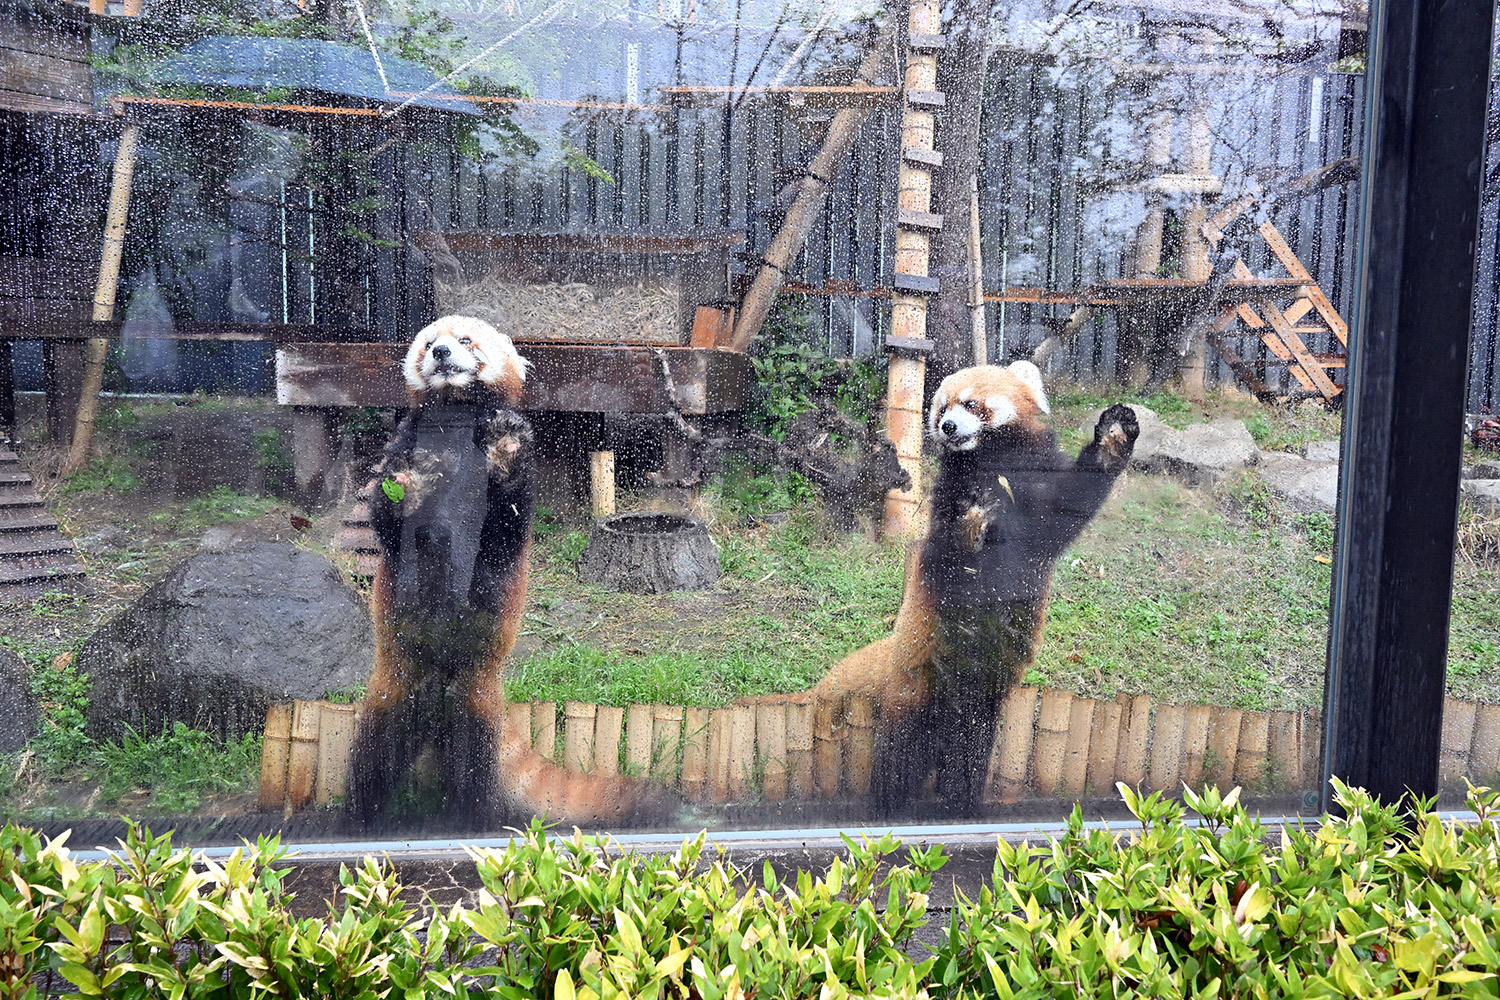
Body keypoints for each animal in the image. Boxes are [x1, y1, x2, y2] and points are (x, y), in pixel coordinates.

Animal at [349, 315, 674, 830]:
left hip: (474, 700)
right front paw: (406, 484)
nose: (441, 352)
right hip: (394, 685)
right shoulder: (405, 445)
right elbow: (389, 519)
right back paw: (358, 819)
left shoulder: (511, 511)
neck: (456, 423)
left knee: (472, 771)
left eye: (464, 340)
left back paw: (469, 820)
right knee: (373, 759)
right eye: (428, 342)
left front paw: (503, 451)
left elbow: (504, 525)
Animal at [761, 361, 1138, 816]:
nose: (948, 426)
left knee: (967, 756)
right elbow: (949, 550)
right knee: (900, 757)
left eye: (970, 404)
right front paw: (969, 528)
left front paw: (1115, 437)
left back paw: (962, 802)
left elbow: (1070, 505)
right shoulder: (949, 499)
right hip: (916, 682)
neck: (994, 462)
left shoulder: (1038, 490)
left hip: (979, 705)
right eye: (941, 407)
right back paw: (890, 807)